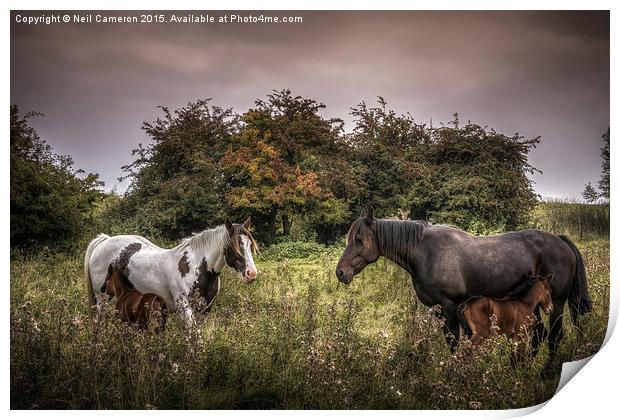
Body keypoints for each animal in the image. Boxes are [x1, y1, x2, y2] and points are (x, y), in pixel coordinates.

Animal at [85, 217, 256, 328]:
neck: (197, 267)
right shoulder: (184, 308)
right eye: (235, 246)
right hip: (102, 298)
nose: (251, 273)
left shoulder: (205, 309)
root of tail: (105, 241)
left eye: (249, 245)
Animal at [336, 208, 592, 376]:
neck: (426, 252)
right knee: (539, 334)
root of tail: (560, 241)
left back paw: (544, 372)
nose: (341, 272)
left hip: (555, 303)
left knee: (554, 335)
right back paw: (524, 367)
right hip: (533, 306)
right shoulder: (439, 311)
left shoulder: (450, 308)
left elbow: (454, 344)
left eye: (359, 239)